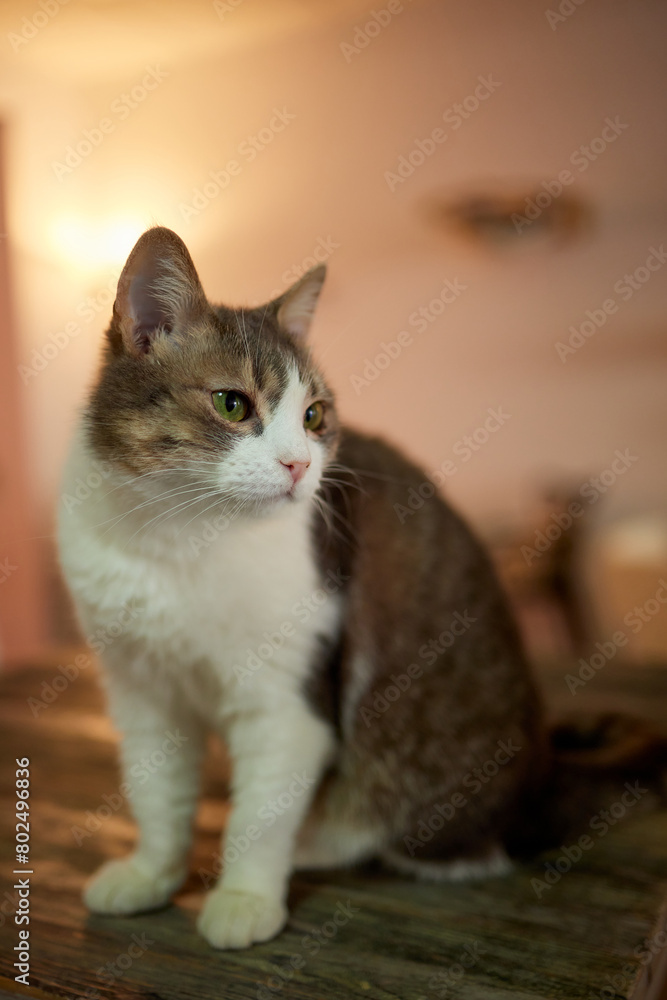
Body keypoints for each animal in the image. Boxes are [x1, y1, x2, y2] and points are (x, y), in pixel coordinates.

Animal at [58, 229, 667, 952]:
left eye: (314, 416)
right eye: (233, 404)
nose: (299, 465)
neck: (176, 540)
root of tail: (543, 775)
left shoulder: (290, 698)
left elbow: (260, 814)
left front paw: (244, 898)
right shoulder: (141, 688)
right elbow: (156, 793)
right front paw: (152, 873)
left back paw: (319, 841)